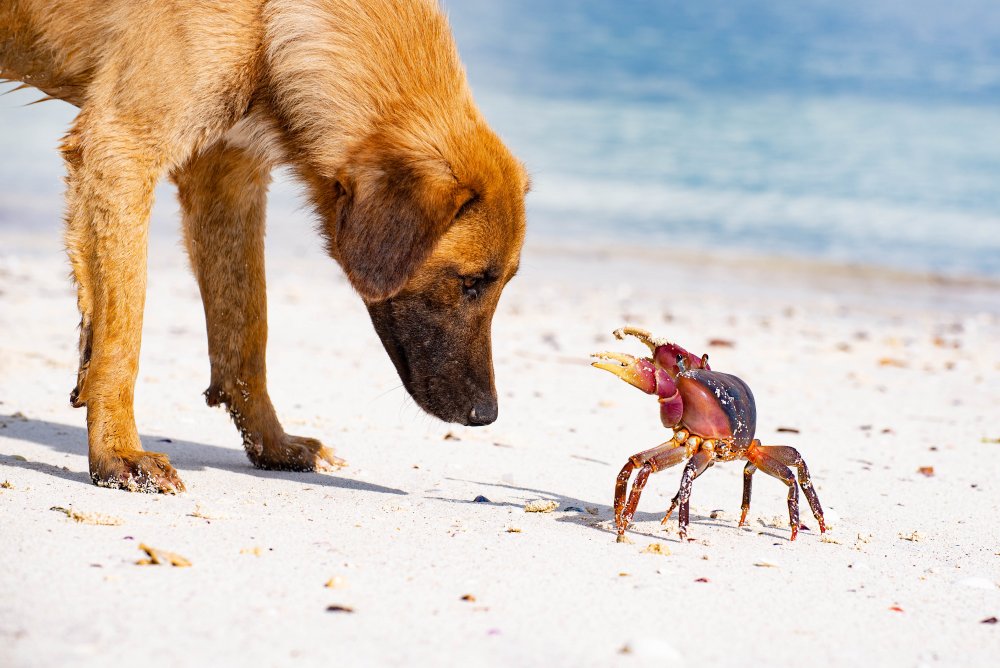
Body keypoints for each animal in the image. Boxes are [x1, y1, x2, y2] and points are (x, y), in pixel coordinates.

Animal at [0, 0, 528, 490]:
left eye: (503, 284)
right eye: (471, 282)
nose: (487, 414)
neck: (268, 24)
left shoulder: (226, 175)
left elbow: (247, 333)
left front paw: (272, 444)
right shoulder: (119, 151)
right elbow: (122, 337)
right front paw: (116, 453)